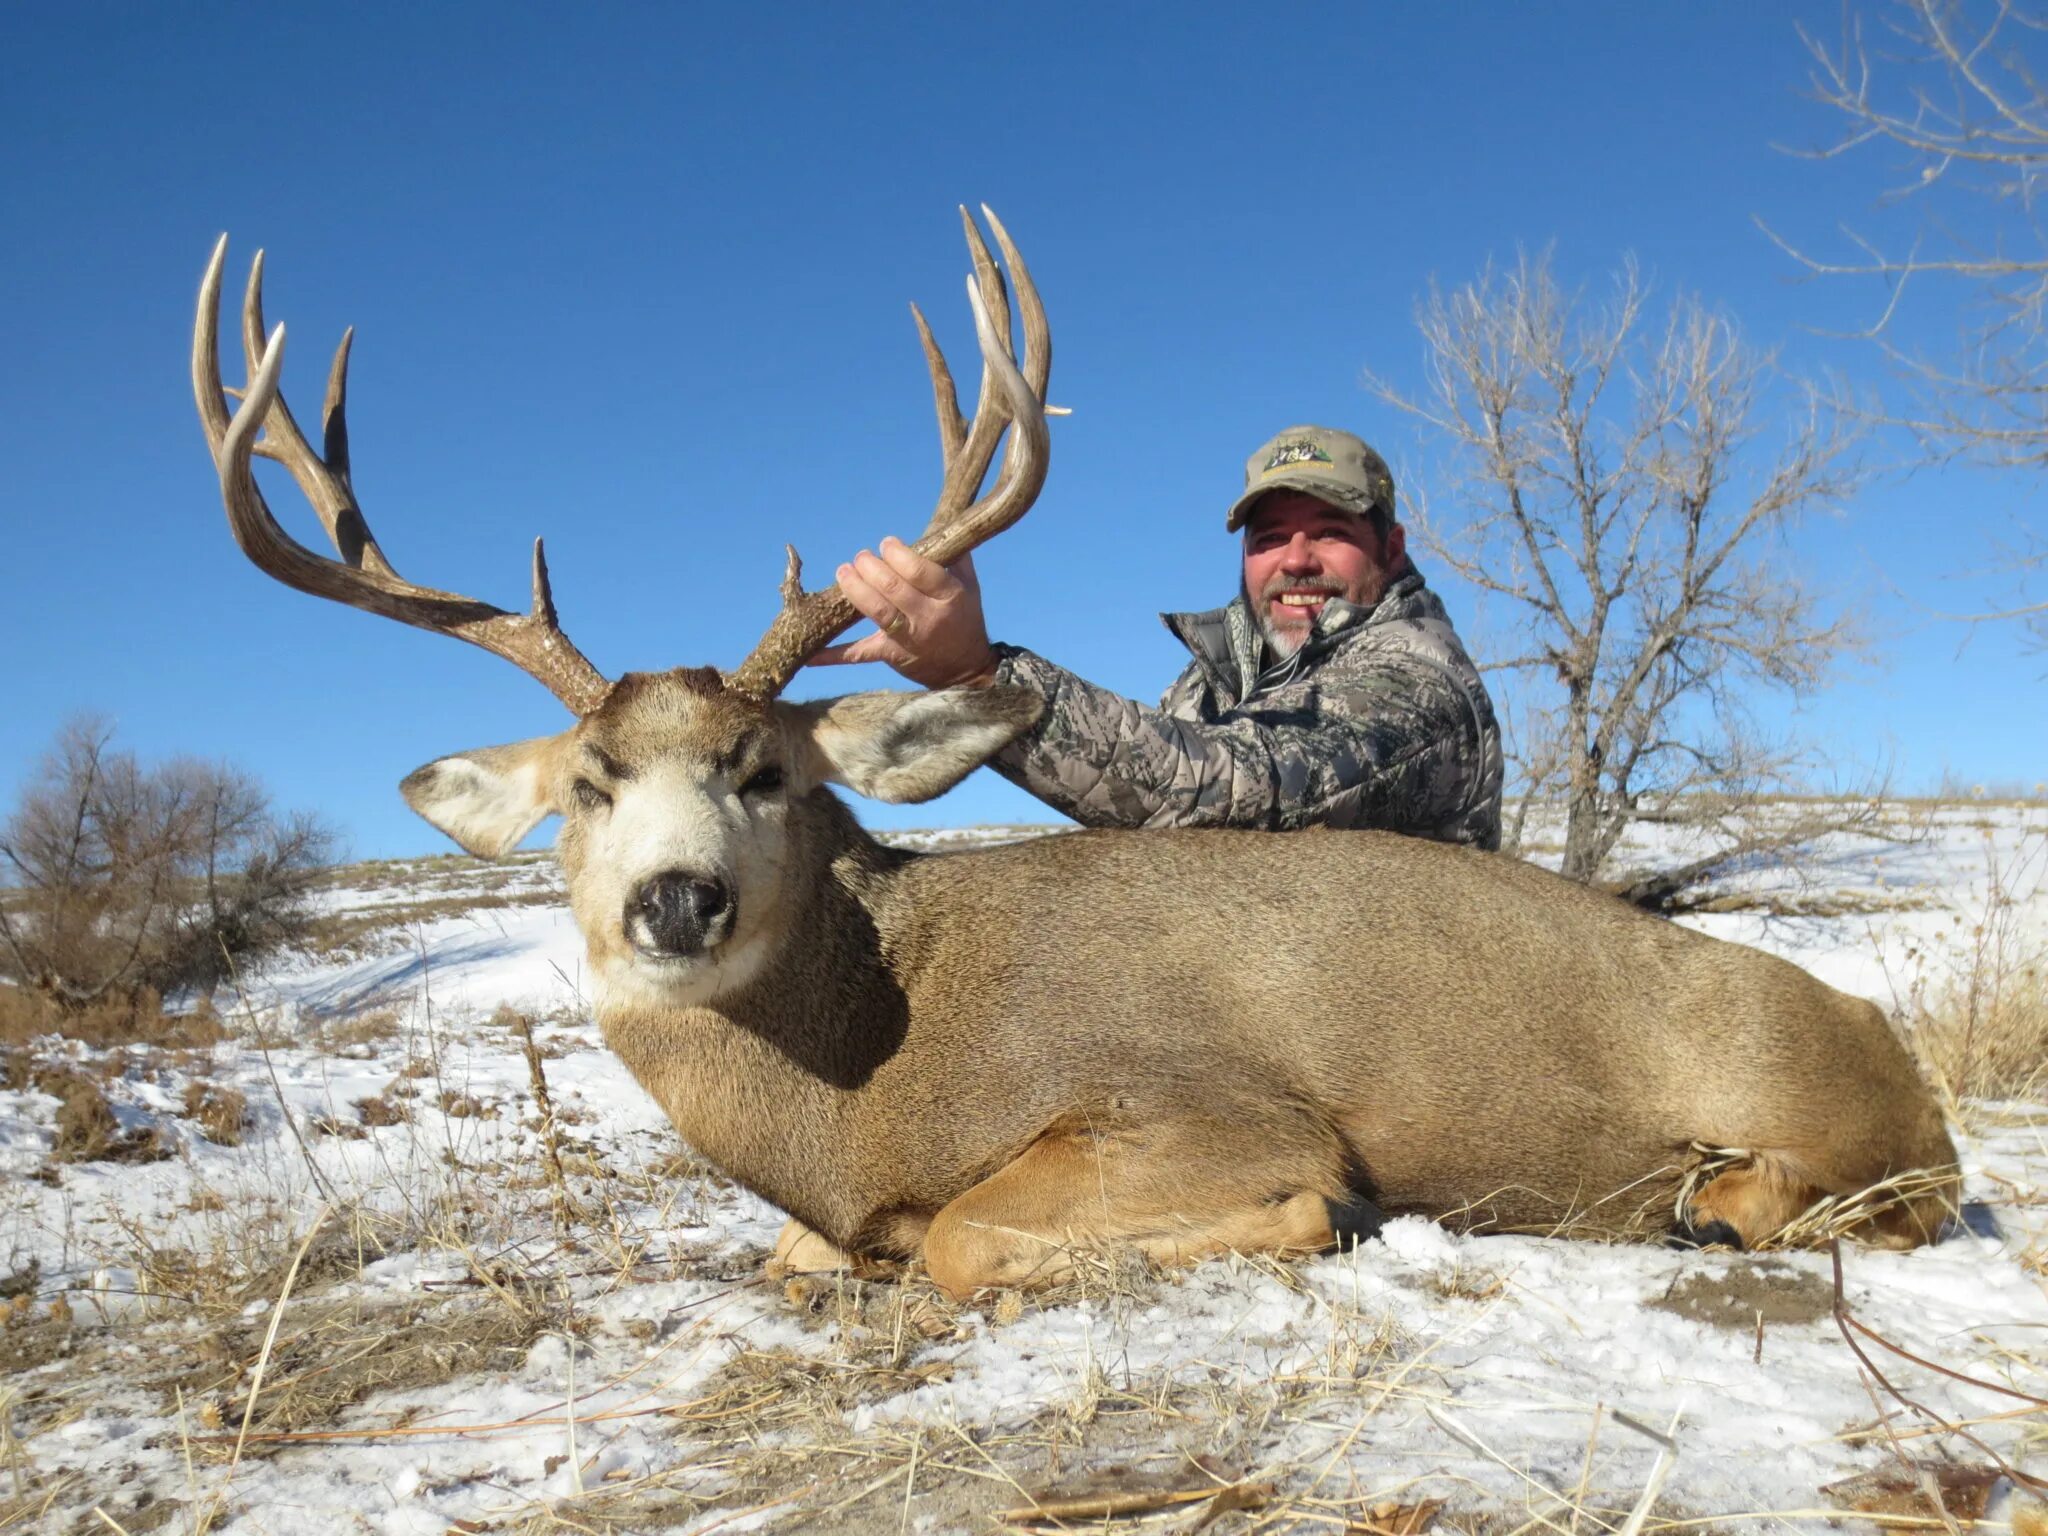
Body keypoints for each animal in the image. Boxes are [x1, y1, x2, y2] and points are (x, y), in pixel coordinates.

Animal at [191, 211, 1960, 1299]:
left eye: (771, 771)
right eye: (584, 785)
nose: (676, 902)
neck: (868, 1087)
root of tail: (1877, 1026)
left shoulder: (1196, 1111)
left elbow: (969, 1242)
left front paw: (1312, 1224)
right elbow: (801, 1255)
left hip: (1808, 1086)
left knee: (1913, 1185)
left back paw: (1711, 1200)